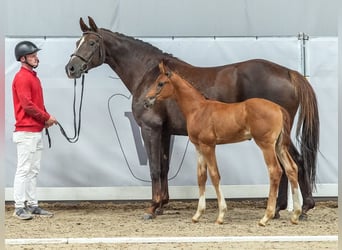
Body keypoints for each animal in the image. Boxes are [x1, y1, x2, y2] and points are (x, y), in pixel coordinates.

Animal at [144, 61, 302, 226]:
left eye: (160, 83)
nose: (146, 100)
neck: (198, 109)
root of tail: (278, 108)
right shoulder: (199, 147)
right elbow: (201, 177)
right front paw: (197, 214)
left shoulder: (209, 146)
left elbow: (214, 175)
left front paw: (220, 215)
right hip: (279, 146)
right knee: (291, 168)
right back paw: (296, 214)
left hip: (266, 145)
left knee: (275, 171)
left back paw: (266, 216)